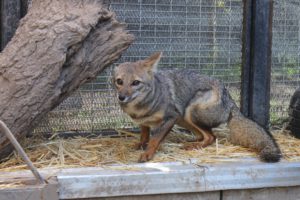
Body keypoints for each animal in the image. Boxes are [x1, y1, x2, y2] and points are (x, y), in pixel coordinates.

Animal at [112, 51, 282, 162]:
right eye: (119, 81)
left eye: (135, 83)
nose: (122, 97)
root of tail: (230, 99)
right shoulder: (145, 122)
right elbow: (145, 135)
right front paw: (140, 145)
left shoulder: (171, 117)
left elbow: (155, 139)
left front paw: (148, 154)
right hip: (184, 119)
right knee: (203, 135)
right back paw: (189, 142)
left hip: (189, 112)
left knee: (211, 137)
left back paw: (194, 146)